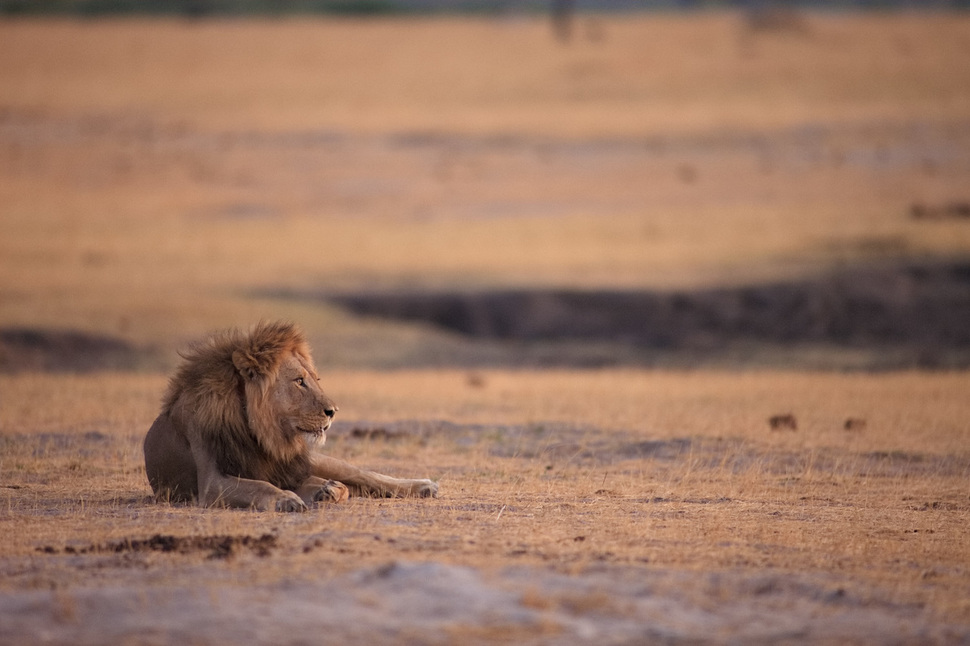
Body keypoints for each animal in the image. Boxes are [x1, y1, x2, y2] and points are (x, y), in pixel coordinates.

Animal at [144, 322, 438, 512]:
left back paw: (423, 486)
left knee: (364, 474)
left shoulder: (289, 470)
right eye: (299, 381)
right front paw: (289, 499)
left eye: (316, 379)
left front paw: (320, 492)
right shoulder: (211, 482)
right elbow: (260, 486)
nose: (333, 411)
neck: (262, 435)